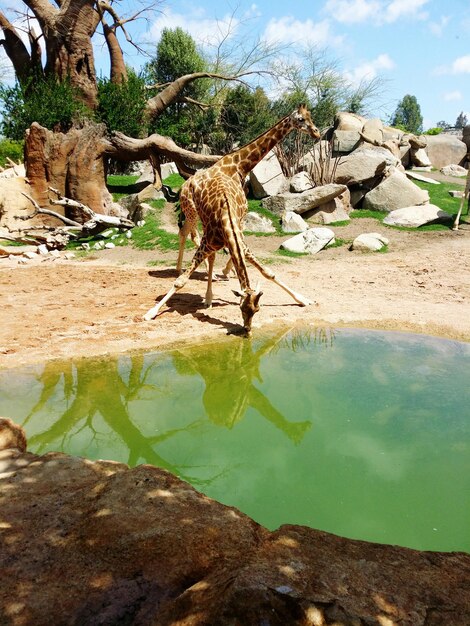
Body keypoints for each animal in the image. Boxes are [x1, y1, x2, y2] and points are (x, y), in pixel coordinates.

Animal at [142, 105, 320, 334]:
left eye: (310, 117)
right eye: (300, 119)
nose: (316, 132)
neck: (238, 165)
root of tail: (185, 183)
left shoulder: (239, 231)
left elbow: (268, 272)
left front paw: (303, 299)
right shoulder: (235, 220)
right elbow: (181, 282)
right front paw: (151, 312)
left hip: (199, 217)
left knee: (194, 240)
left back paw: (206, 289)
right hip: (191, 210)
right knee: (186, 234)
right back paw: (183, 271)